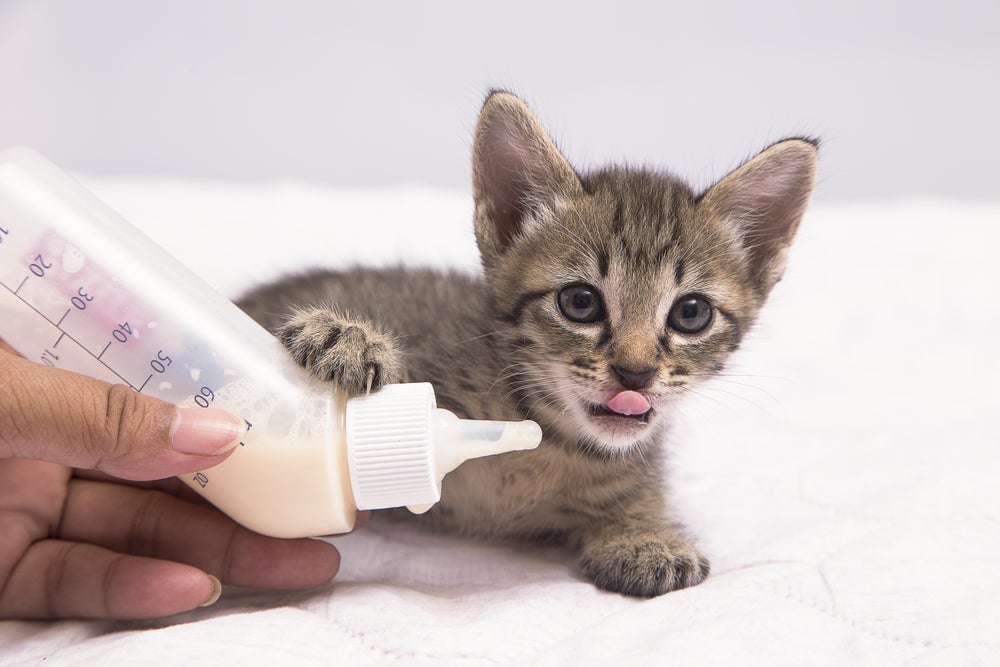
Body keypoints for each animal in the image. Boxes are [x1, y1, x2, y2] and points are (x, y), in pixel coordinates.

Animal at [238, 91, 816, 596]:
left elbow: (639, 498)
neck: (551, 436)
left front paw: (648, 537)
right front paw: (346, 338)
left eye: (691, 314)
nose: (635, 373)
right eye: (579, 302)